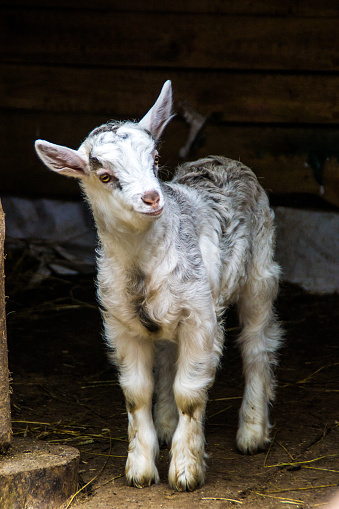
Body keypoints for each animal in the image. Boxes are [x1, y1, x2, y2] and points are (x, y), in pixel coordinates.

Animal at [35, 81, 282, 490]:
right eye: (104, 176)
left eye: (153, 160)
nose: (152, 198)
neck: (142, 261)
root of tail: (222, 159)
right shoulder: (120, 324)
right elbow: (136, 394)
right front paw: (139, 469)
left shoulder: (201, 317)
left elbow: (190, 393)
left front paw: (185, 471)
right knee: (168, 354)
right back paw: (167, 426)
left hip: (259, 272)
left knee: (257, 345)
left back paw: (251, 431)